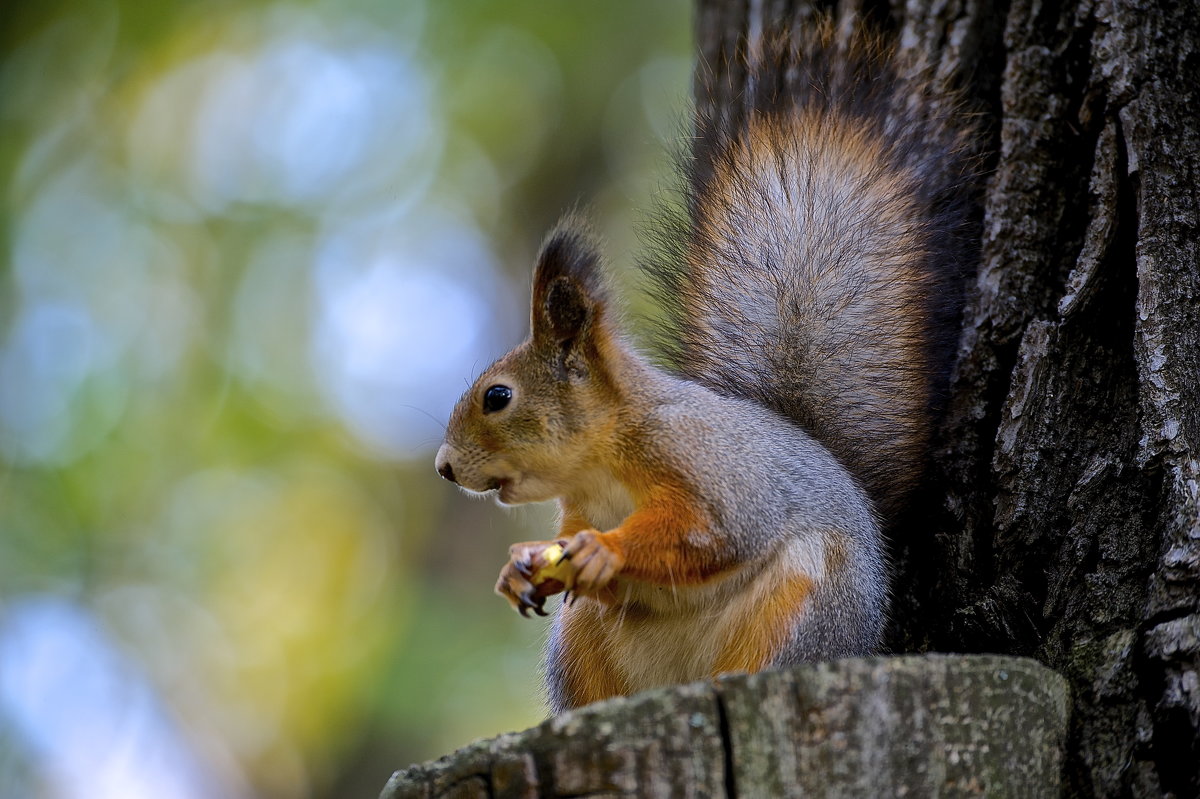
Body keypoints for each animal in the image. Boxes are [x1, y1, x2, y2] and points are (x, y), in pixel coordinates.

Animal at [436, 18, 979, 710]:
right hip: (582, 642)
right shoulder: (577, 507)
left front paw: (603, 550)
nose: (444, 467)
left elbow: (705, 535)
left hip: (799, 610)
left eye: (497, 397)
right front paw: (517, 569)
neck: (601, 461)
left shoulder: (707, 467)